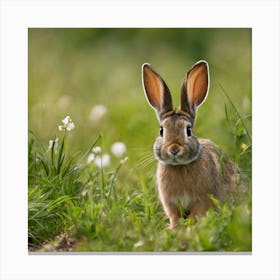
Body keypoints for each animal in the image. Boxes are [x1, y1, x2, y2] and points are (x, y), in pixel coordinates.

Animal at [142, 60, 241, 229]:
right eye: (162, 131)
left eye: (188, 130)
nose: (174, 149)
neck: (179, 167)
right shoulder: (171, 204)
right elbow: (175, 217)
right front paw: (173, 229)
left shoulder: (203, 200)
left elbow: (197, 214)